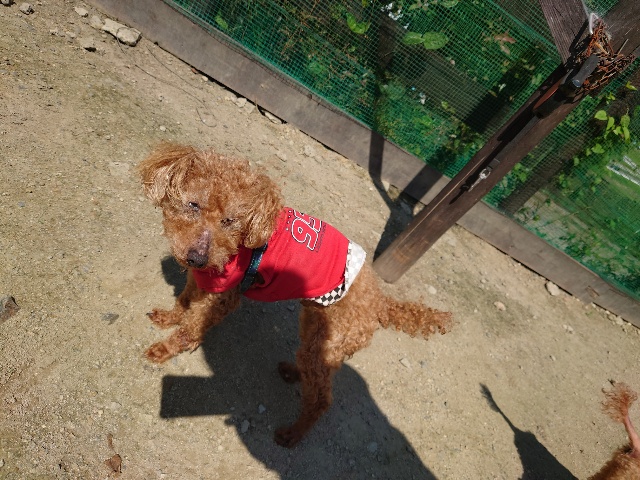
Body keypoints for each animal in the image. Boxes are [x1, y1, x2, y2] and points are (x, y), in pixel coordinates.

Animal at [138, 142, 452, 447]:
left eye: (229, 221)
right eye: (193, 205)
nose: (198, 257)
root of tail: (380, 303)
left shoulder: (223, 294)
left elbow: (190, 328)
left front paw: (164, 350)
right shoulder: (202, 279)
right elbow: (184, 301)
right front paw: (167, 317)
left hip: (329, 341)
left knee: (322, 399)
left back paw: (293, 434)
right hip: (316, 330)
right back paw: (292, 372)